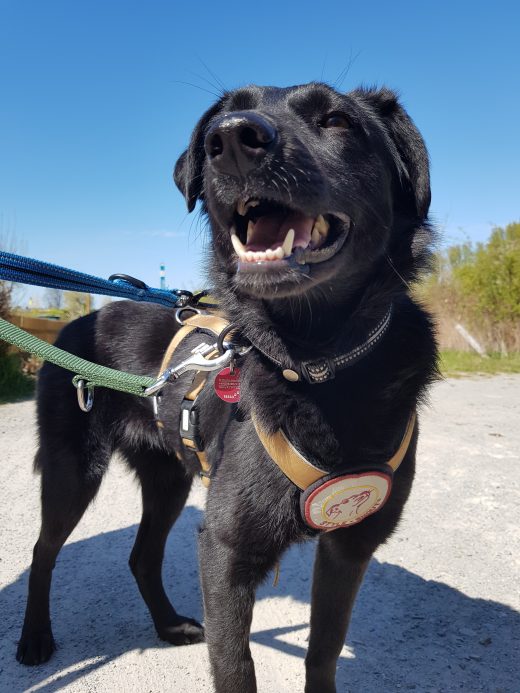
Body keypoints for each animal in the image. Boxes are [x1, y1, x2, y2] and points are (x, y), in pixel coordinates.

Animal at [18, 82, 436, 692]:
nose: (233, 140)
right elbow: (236, 666)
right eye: (224, 119)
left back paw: (168, 626)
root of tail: (76, 322)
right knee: (43, 550)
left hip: (167, 478)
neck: (316, 367)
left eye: (337, 120)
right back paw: (34, 638)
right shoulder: (225, 550)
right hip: (74, 473)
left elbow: (324, 650)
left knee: (141, 557)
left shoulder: (349, 545)